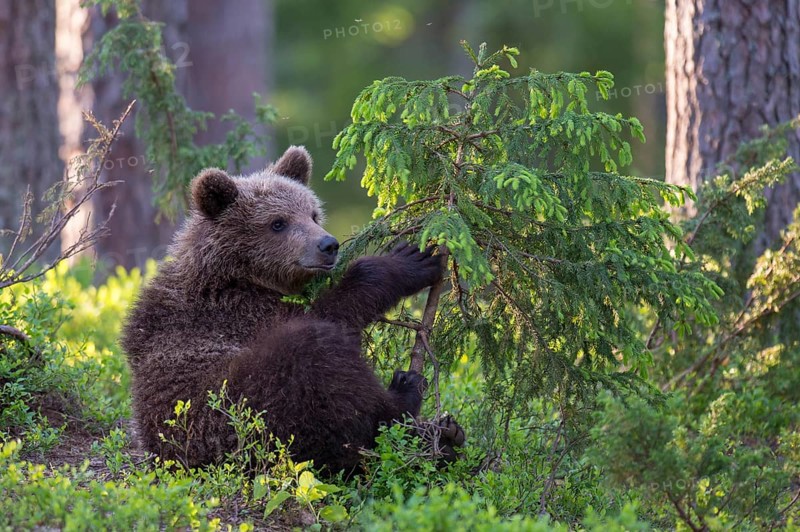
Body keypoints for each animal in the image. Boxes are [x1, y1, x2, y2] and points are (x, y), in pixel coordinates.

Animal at [121, 146, 463, 474]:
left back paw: (445, 436)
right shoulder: (241, 310)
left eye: (312, 213)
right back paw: (408, 396)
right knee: (317, 359)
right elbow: (332, 314)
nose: (328, 245)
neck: (238, 274)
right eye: (278, 222)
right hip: (241, 413)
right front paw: (410, 260)